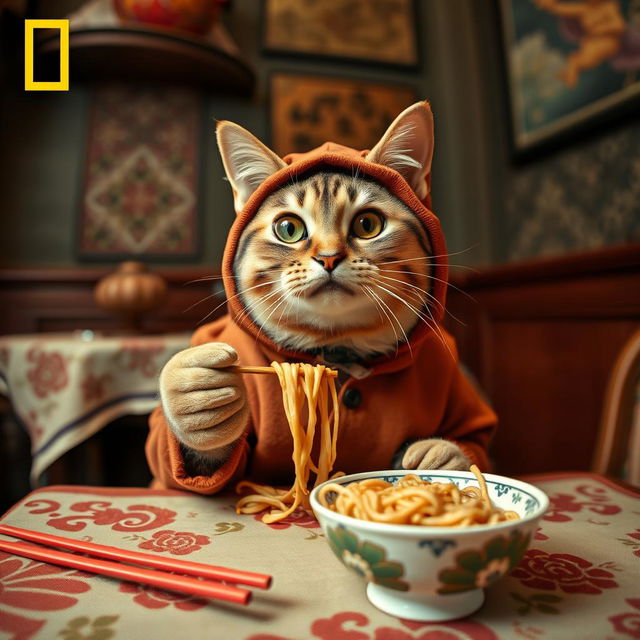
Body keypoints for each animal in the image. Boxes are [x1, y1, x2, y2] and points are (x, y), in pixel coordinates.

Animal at [148, 102, 498, 490]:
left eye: (368, 224)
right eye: (288, 228)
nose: (329, 257)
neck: (339, 350)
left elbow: (474, 439)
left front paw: (440, 456)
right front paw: (192, 395)